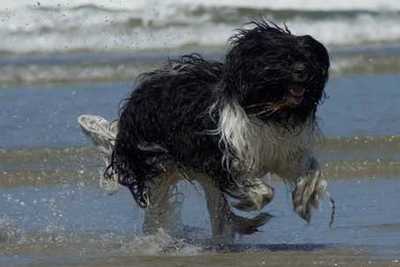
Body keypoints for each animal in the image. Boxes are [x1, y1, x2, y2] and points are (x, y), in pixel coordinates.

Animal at [79, 20, 332, 243]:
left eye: (307, 59)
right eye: (281, 58)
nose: (303, 71)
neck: (266, 110)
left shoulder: (284, 151)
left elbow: (310, 169)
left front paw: (303, 200)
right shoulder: (222, 156)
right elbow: (261, 190)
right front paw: (250, 200)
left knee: (217, 208)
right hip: (157, 165)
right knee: (158, 208)